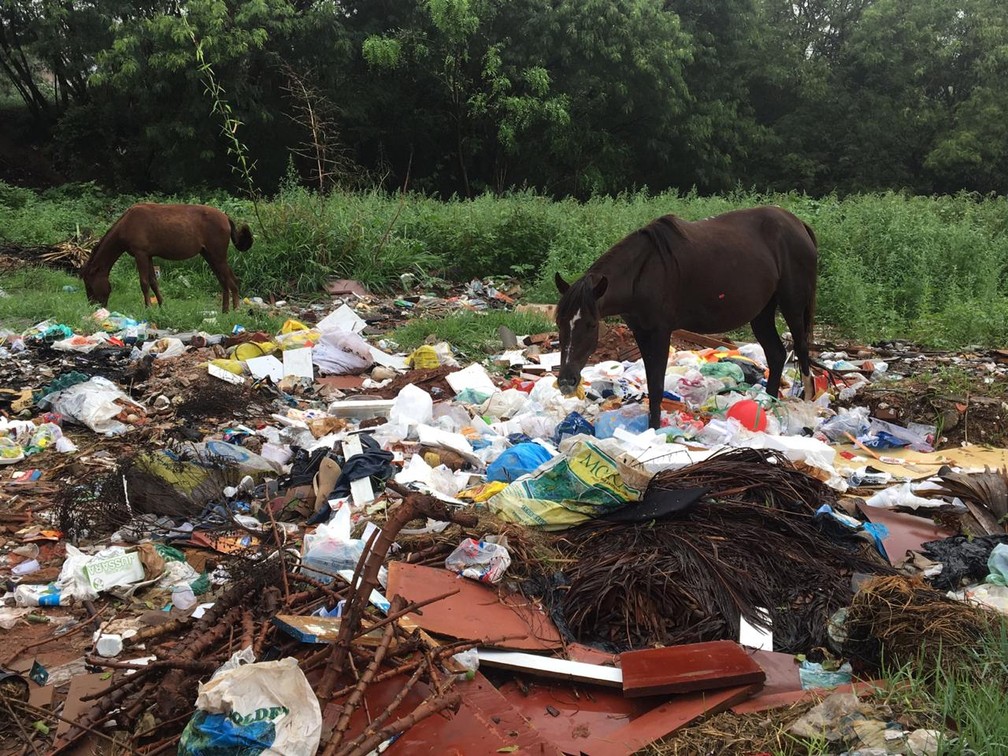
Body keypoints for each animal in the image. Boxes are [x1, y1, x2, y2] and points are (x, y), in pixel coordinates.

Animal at [82, 202, 256, 312]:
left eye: (89, 285)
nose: (93, 306)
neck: (127, 223)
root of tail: (225, 217)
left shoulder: (140, 254)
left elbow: (144, 283)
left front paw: (148, 308)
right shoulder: (149, 256)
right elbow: (153, 282)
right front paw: (161, 306)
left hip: (218, 256)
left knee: (232, 281)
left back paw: (235, 310)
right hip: (209, 255)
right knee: (224, 282)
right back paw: (225, 311)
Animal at [552, 207, 818, 429]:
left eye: (591, 324)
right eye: (559, 322)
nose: (566, 381)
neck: (642, 272)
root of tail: (798, 224)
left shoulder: (660, 332)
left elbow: (657, 384)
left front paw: (654, 430)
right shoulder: (641, 332)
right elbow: (651, 381)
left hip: (793, 306)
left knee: (802, 349)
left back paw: (807, 401)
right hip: (761, 313)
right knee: (777, 355)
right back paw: (769, 405)